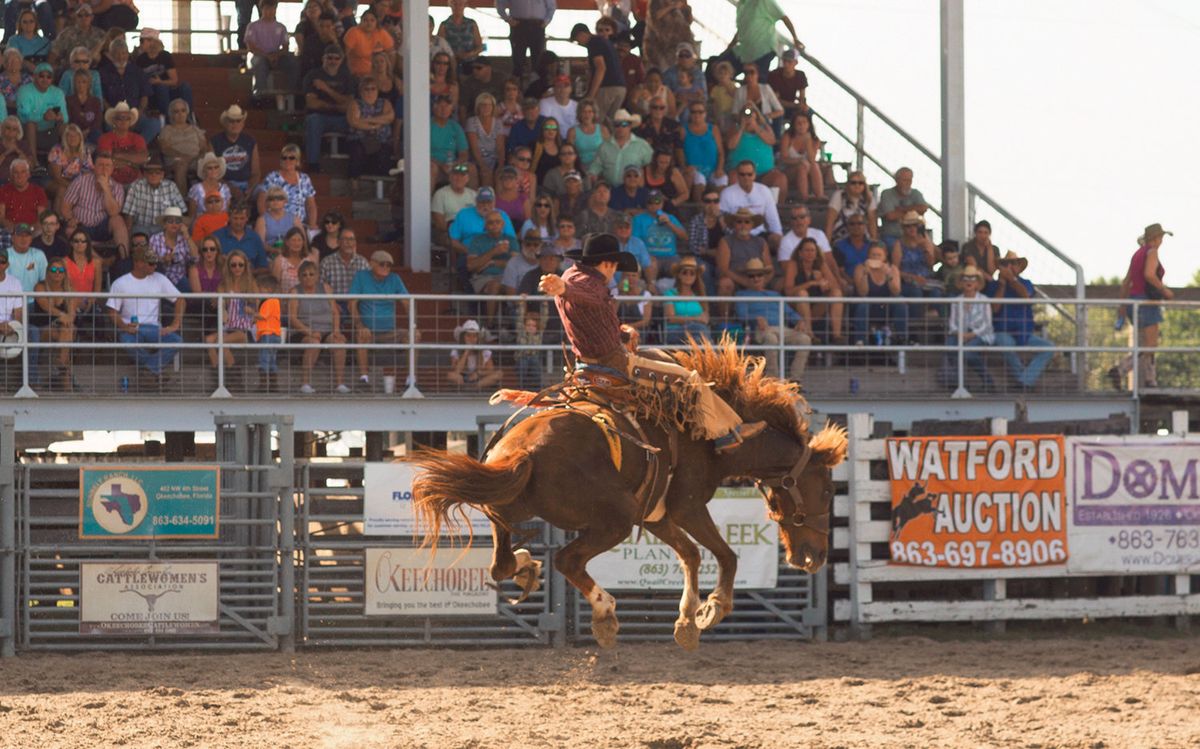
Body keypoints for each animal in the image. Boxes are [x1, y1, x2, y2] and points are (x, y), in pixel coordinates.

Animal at [408, 338, 849, 648]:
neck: (711, 437)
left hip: (509, 511)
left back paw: (527, 567)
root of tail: (524, 452)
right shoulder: (687, 508)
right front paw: (713, 610)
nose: (814, 557)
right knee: (567, 560)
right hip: (613, 520)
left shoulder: (655, 514)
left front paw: (687, 622)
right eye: (828, 490)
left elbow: (690, 555)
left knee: (501, 564)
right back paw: (605, 614)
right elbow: (725, 554)